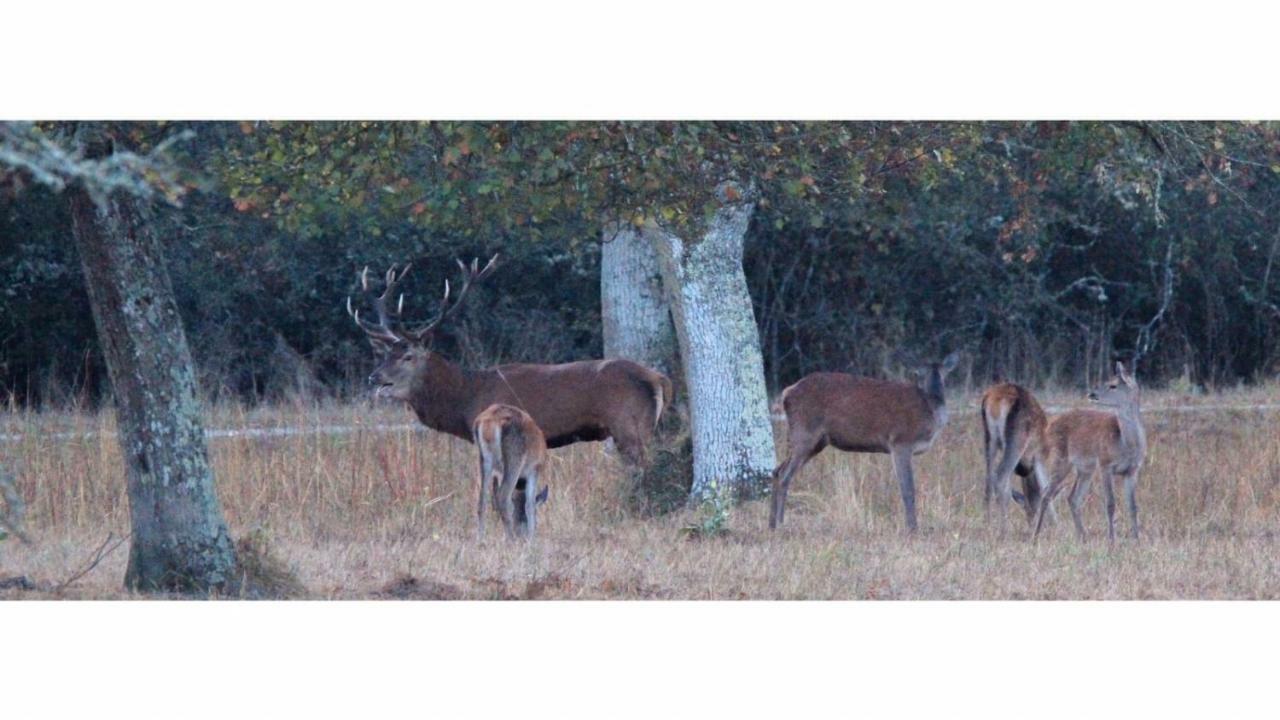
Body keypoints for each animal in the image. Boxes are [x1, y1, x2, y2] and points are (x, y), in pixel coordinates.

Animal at [345, 256, 675, 486]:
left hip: (628, 425)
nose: (375, 377)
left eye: (408, 356)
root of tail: (658, 378)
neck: (466, 398)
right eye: (386, 354)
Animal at [473, 399, 547, 535]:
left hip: (485, 459)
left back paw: (481, 538)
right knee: (503, 496)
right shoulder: (534, 469)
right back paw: (510, 538)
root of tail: (489, 422)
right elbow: (530, 504)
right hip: (514, 460)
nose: (521, 534)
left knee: (482, 500)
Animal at [768, 351, 962, 530]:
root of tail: (787, 393)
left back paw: (771, 524)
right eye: (919, 374)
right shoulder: (900, 442)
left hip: (815, 441)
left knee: (776, 470)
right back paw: (781, 523)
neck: (929, 406)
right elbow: (907, 489)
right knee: (785, 474)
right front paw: (912, 528)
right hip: (805, 433)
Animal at [977, 381, 1049, 532]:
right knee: (1000, 476)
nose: (1031, 521)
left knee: (989, 478)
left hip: (990, 438)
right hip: (1017, 440)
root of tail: (996, 401)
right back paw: (1003, 530)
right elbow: (1046, 485)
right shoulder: (1039, 455)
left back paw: (987, 524)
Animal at [1029, 361, 1152, 540]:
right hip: (1060, 459)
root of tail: (1048, 425)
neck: (1125, 443)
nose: (1092, 394)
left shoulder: (1132, 470)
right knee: (1046, 494)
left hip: (1086, 468)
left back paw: (1083, 536)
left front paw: (1136, 538)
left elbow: (1133, 506)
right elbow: (1110, 503)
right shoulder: (1105, 464)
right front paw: (1111, 539)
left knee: (1072, 497)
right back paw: (1036, 535)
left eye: (1113, 385)